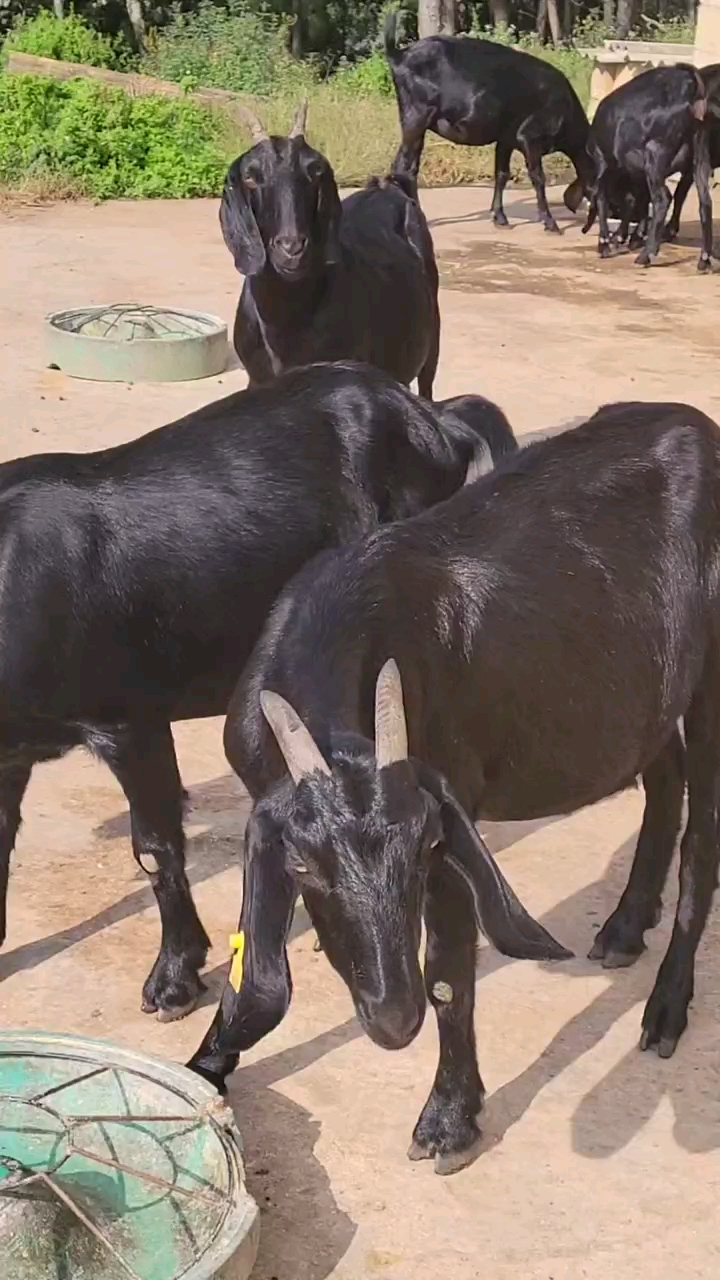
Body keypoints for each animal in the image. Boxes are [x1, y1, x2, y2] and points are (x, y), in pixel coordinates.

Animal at [189, 399, 717, 1172]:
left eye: (426, 847)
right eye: (301, 866)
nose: (391, 1018)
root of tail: (698, 426)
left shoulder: (450, 803)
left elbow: (447, 976)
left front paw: (448, 1121)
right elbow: (249, 982)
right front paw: (202, 1067)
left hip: (711, 679)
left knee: (702, 842)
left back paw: (667, 1008)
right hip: (639, 687)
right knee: (662, 769)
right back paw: (624, 926)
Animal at [381, 11, 589, 232]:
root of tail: (398, 55)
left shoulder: (506, 139)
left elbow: (502, 174)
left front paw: (499, 217)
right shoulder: (529, 136)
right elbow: (538, 177)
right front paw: (550, 222)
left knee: (406, 166)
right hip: (416, 116)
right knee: (404, 167)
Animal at [586, 64, 707, 270]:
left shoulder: (603, 163)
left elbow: (603, 197)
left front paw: (605, 244)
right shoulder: (637, 174)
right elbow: (638, 199)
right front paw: (627, 236)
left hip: (655, 155)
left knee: (663, 199)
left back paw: (645, 256)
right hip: (697, 160)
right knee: (704, 202)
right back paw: (705, 259)